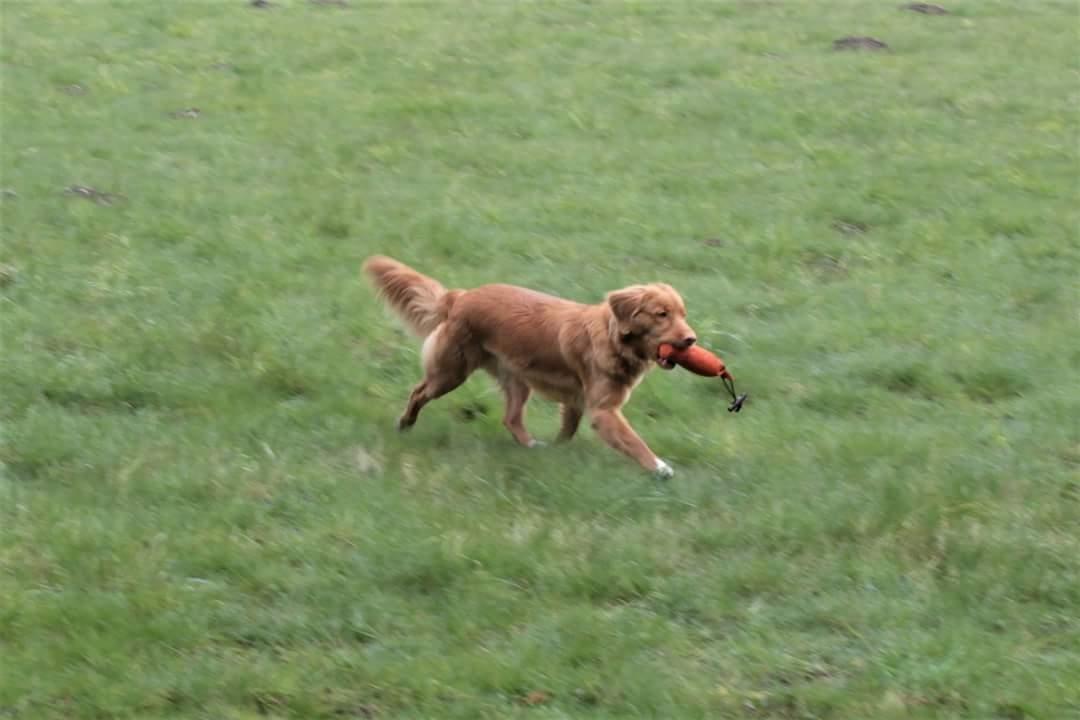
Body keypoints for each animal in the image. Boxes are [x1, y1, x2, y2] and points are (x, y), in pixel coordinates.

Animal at [362, 254, 699, 479]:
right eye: (661, 314)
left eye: (683, 313)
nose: (692, 340)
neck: (614, 338)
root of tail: (460, 297)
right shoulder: (604, 411)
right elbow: (633, 440)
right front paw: (660, 467)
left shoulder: (576, 400)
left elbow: (568, 431)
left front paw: (558, 452)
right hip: (451, 372)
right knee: (418, 392)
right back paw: (405, 424)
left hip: (516, 379)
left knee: (511, 418)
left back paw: (531, 446)